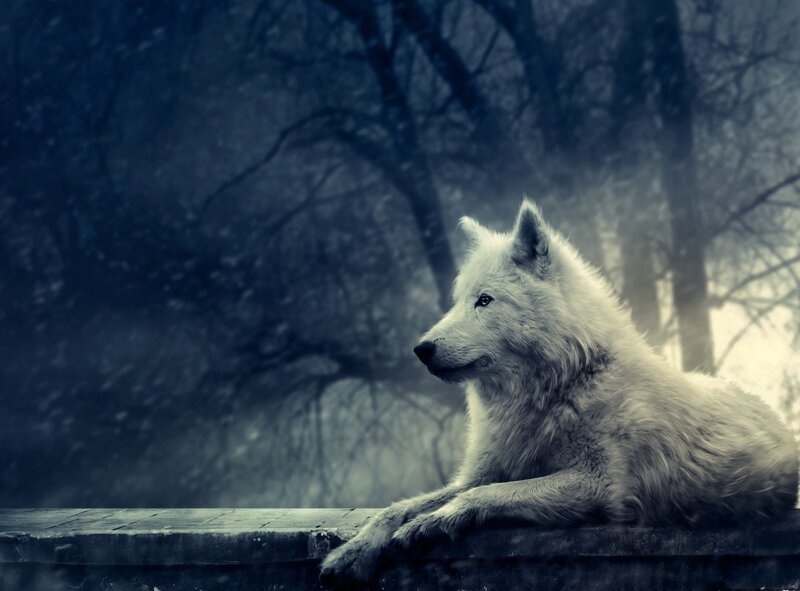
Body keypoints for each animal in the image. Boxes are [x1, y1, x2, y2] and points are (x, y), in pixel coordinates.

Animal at [320, 200, 798, 584]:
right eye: (458, 301)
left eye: (485, 300)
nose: (421, 349)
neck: (562, 385)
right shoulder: (483, 471)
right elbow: (399, 507)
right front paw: (353, 552)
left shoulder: (598, 485)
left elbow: (487, 495)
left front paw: (435, 522)